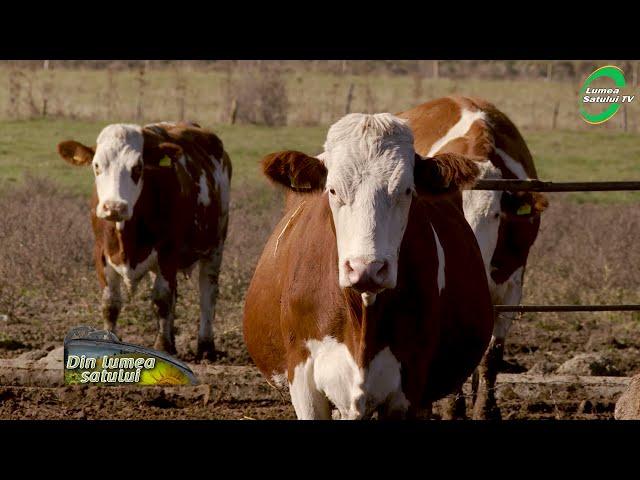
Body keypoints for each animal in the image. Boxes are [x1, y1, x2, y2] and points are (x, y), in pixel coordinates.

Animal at [57, 122, 232, 358]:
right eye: (96, 166)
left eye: (137, 168)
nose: (114, 207)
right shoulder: (100, 253)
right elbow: (110, 303)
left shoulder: (168, 251)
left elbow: (162, 299)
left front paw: (163, 346)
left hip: (215, 246)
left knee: (207, 293)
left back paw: (205, 345)